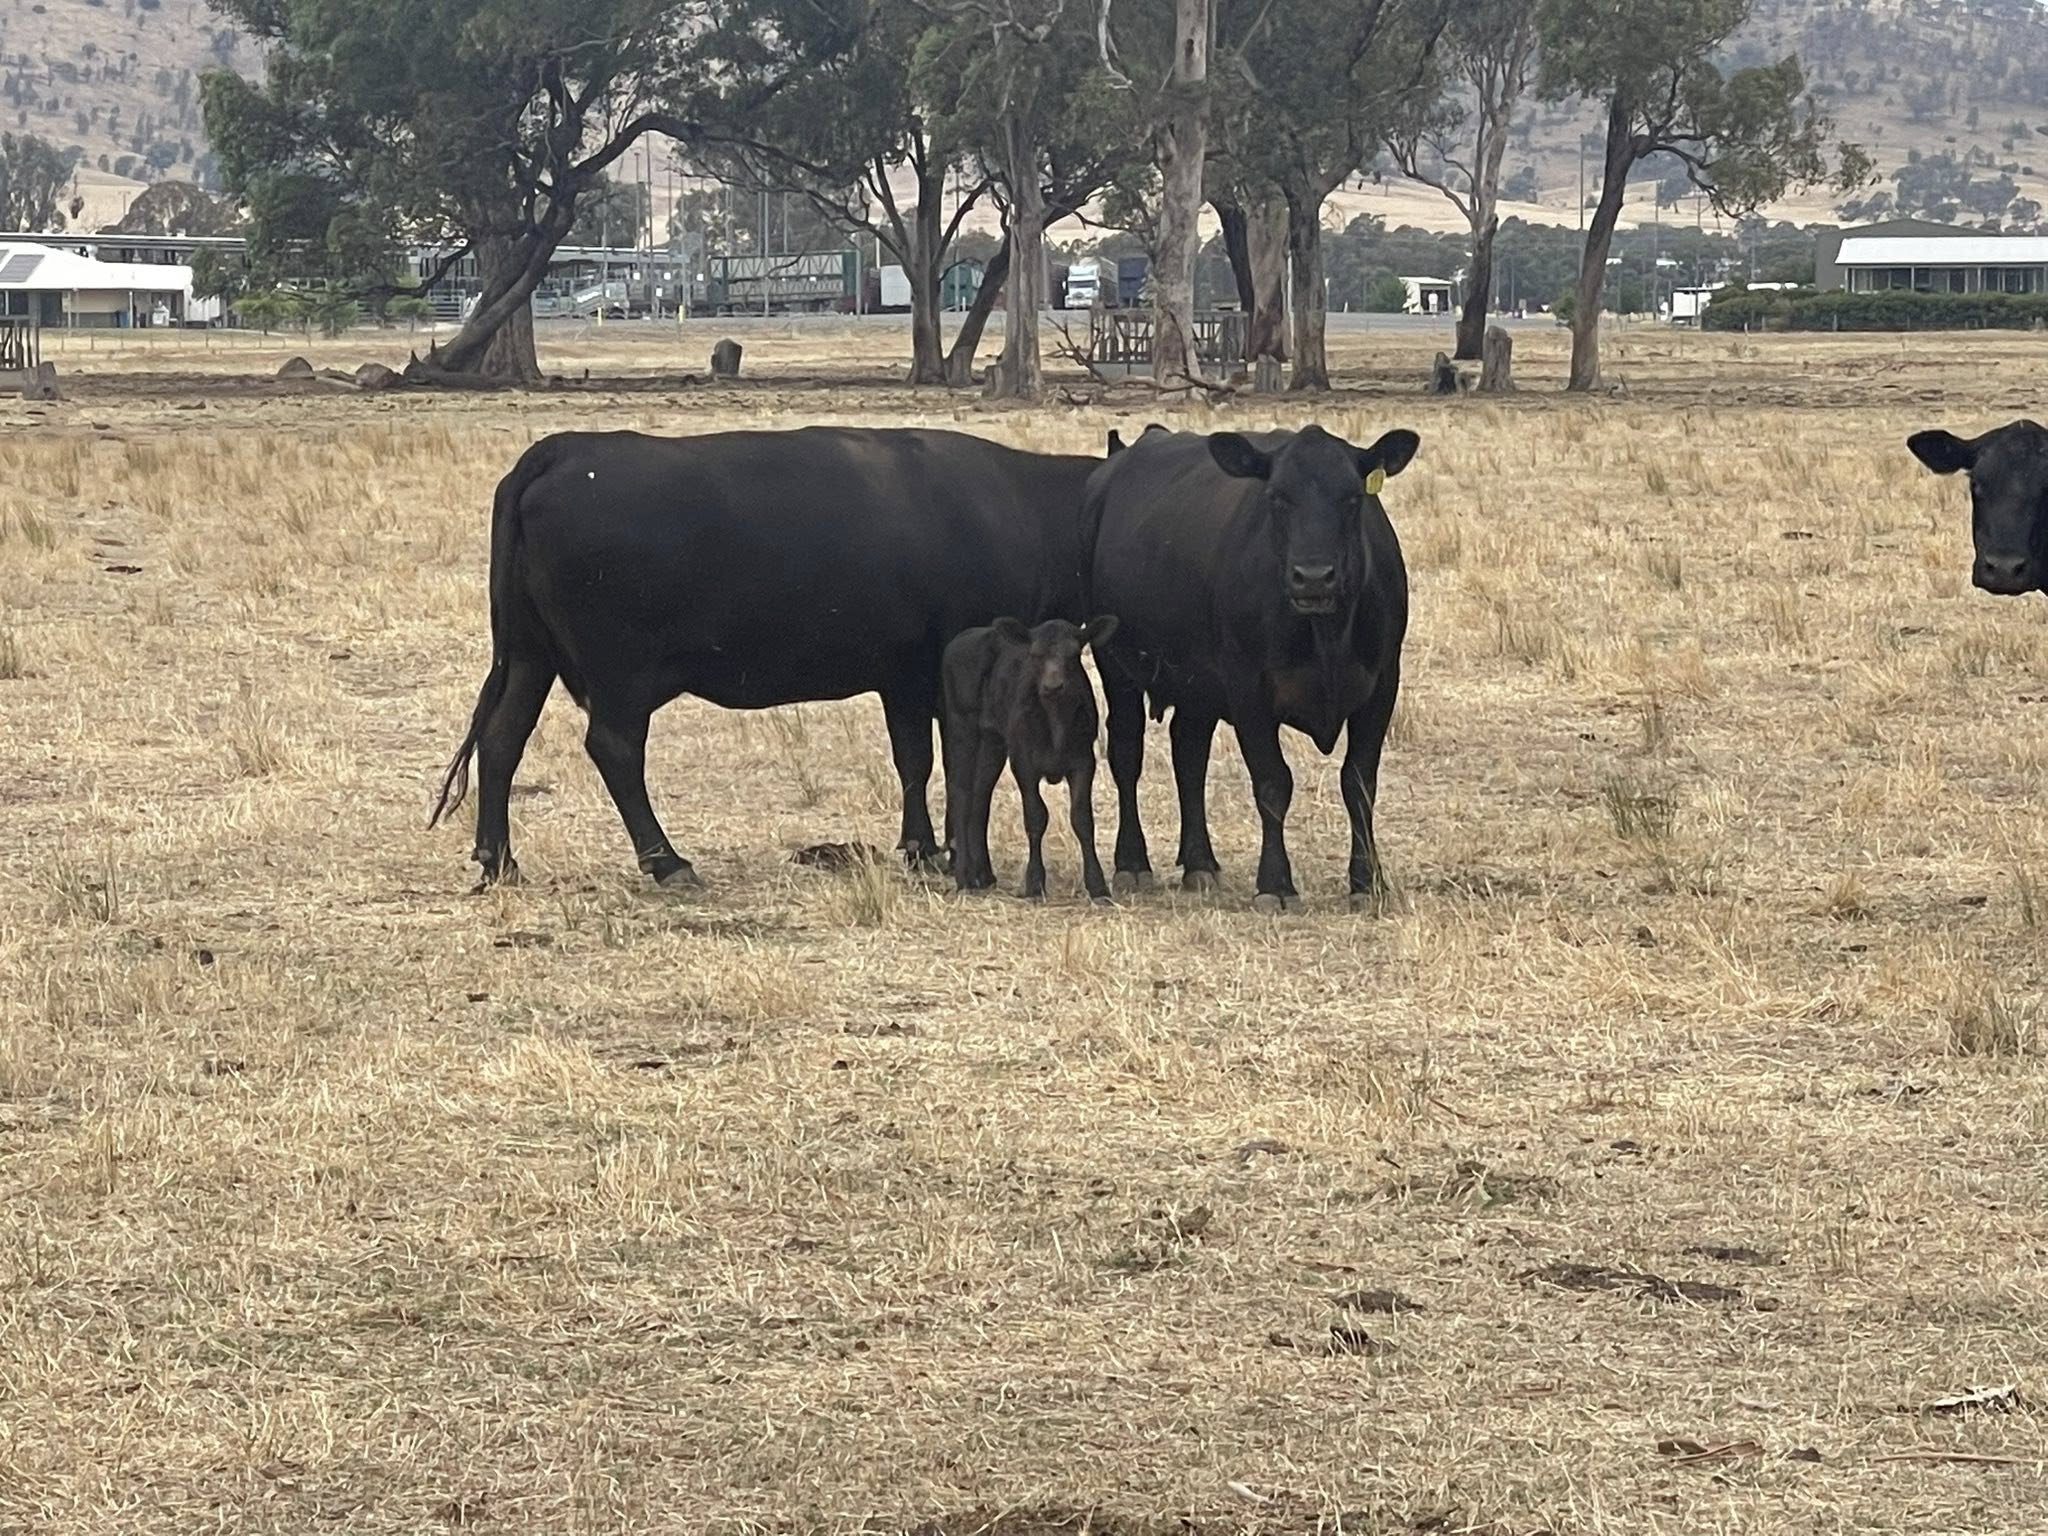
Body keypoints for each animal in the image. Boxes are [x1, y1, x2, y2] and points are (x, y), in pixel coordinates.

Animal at [429, 427, 1107, 888]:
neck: (1018, 507)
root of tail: (565, 450)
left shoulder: (903, 676)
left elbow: (912, 759)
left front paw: (923, 846)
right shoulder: (940, 673)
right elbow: (942, 762)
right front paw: (943, 852)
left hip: (528, 655)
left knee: (502, 738)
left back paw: (499, 859)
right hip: (621, 673)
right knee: (613, 749)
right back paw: (667, 861)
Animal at [941, 616, 1118, 901]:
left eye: (1074, 655)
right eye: (1035, 654)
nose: (1053, 686)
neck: (1055, 721)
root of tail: (964, 636)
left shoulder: (1083, 761)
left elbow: (1082, 818)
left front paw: (1097, 885)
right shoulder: (1023, 762)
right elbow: (1035, 816)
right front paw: (1035, 883)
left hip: (992, 742)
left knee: (980, 796)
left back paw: (983, 875)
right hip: (961, 727)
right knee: (961, 794)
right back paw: (964, 877)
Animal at [1084, 423, 1420, 912]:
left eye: (1353, 498)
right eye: (1277, 497)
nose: (1313, 576)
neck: (1326, 635)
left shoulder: (1381, 686)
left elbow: (1359, 783)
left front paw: (1366, 883)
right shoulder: (1249, 690)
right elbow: (1273, 782)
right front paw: (1276, 884)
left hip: (1197, 687)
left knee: (1189, 757)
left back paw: (1200, 863)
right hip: (1116, 664)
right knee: (1127, 752)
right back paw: (1132, 862)